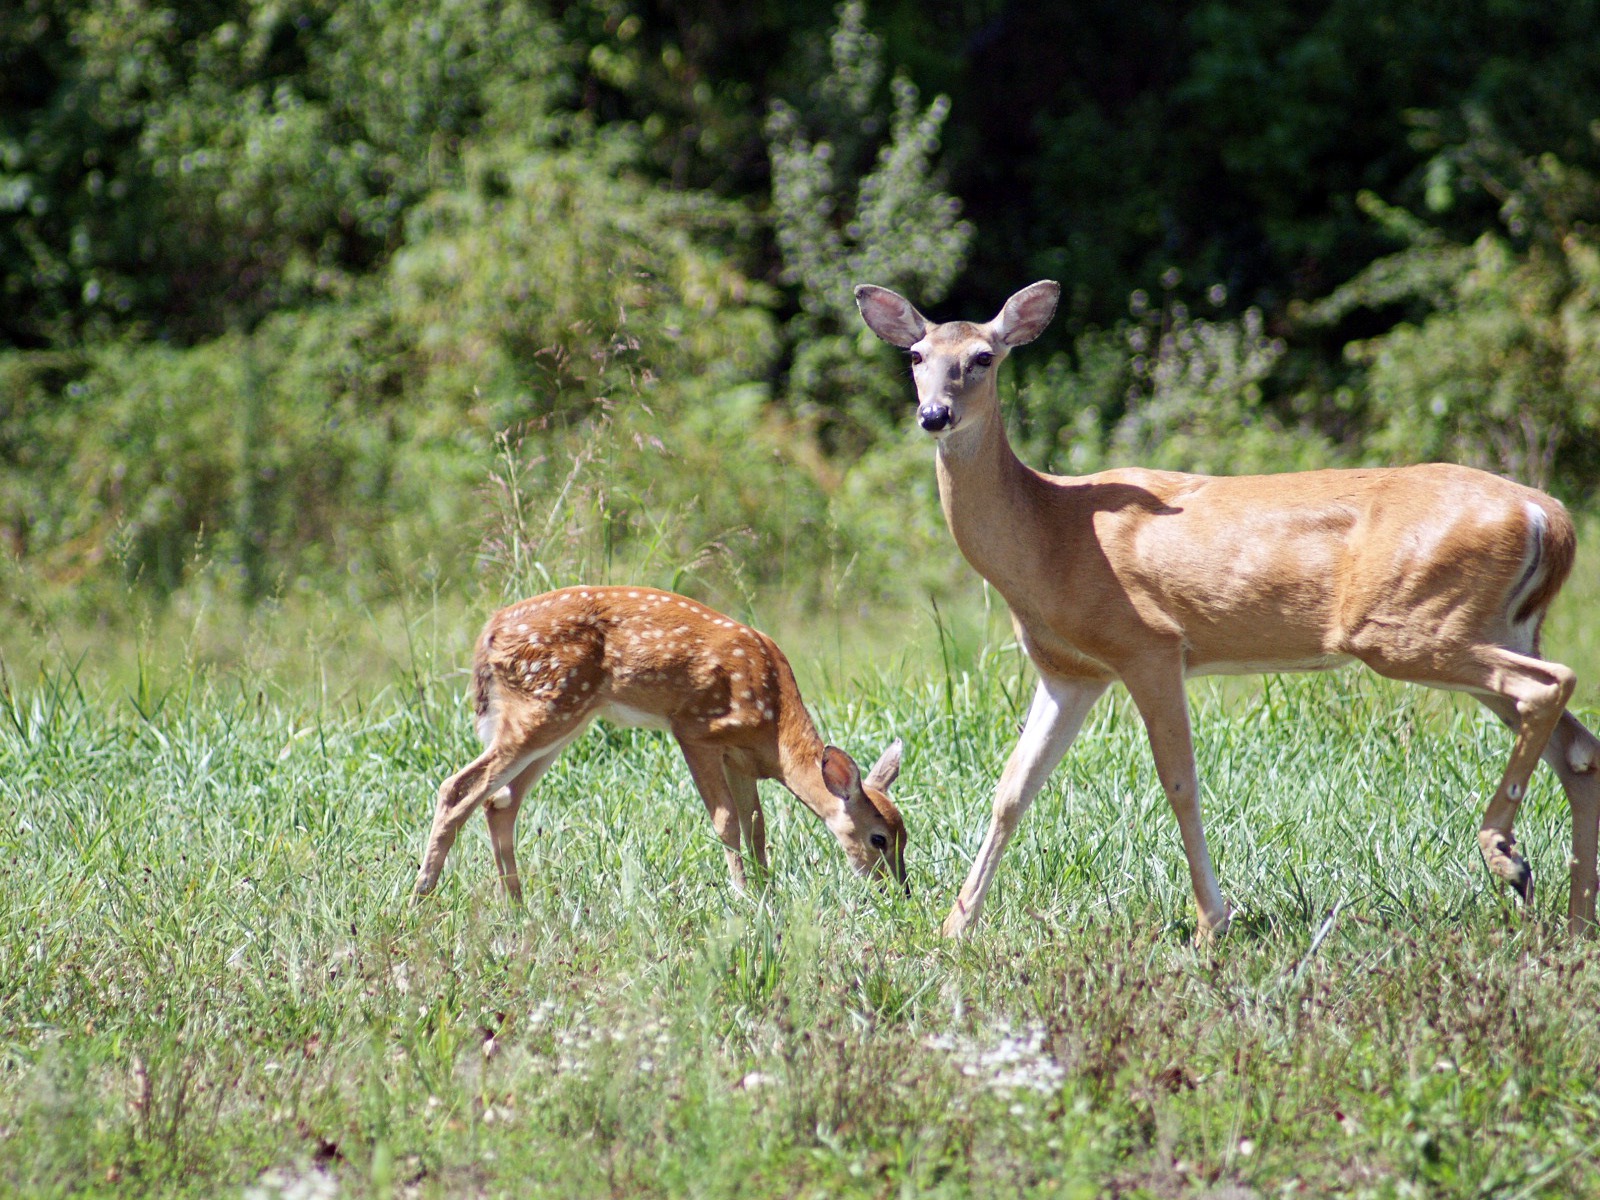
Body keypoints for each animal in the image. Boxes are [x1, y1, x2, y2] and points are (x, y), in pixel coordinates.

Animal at [412, 588, 908, 908]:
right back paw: (422, 893)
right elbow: (727, 822)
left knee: (501, 803)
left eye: (906, 835)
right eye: (878, 838)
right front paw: (746, 898)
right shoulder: (695, 730)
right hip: (543, 707)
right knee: (458, 787)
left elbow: (756, 827)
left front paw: (769, 891)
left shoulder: (741, 759)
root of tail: (489, 632)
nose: (899, 892)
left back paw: (517, 907)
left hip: (562, 720)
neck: (774, 731)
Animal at [864, 280, 1600, 940]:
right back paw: (1574, 922)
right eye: (916, 355)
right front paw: (955, 929)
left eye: (984, 357)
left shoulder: (1149, 644)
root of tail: (1548, 515)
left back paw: (1506, 857)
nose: (934, 415)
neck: (1051, 534)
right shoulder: (1072, 672)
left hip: (1407, 625)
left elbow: (1179, 784)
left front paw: (1210, 924)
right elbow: (1012, 790)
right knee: (1578, 747)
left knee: (1553, 686)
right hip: (1496, 624)